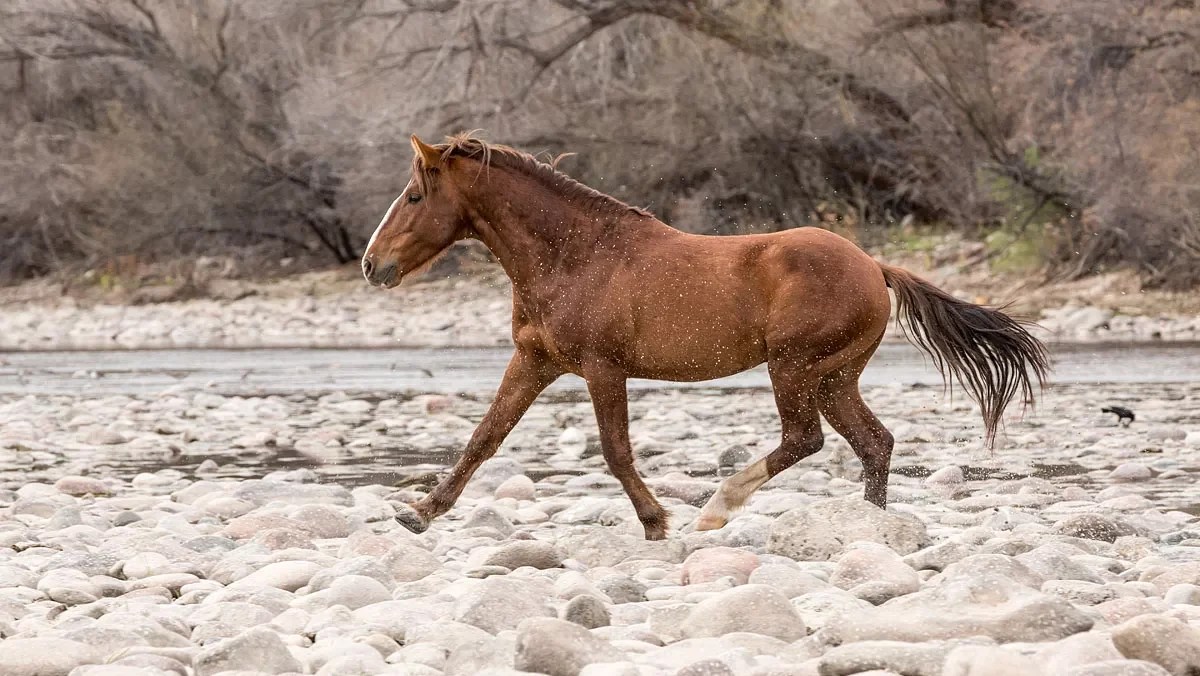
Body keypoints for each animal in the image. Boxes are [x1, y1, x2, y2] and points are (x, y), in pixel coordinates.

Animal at [362, 132, 1050, 541]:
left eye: (415, 195)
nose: (372, 265)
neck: (575, 255)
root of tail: (874, 267)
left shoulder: (602, 368)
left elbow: (615, 451)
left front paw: (656, 522)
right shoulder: (534, 361)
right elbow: (484, 438)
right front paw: (418, 512)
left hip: (794, 368)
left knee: (806, 440)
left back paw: (718, 508)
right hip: (834, 377)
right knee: (873, 443)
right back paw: (864, 524)